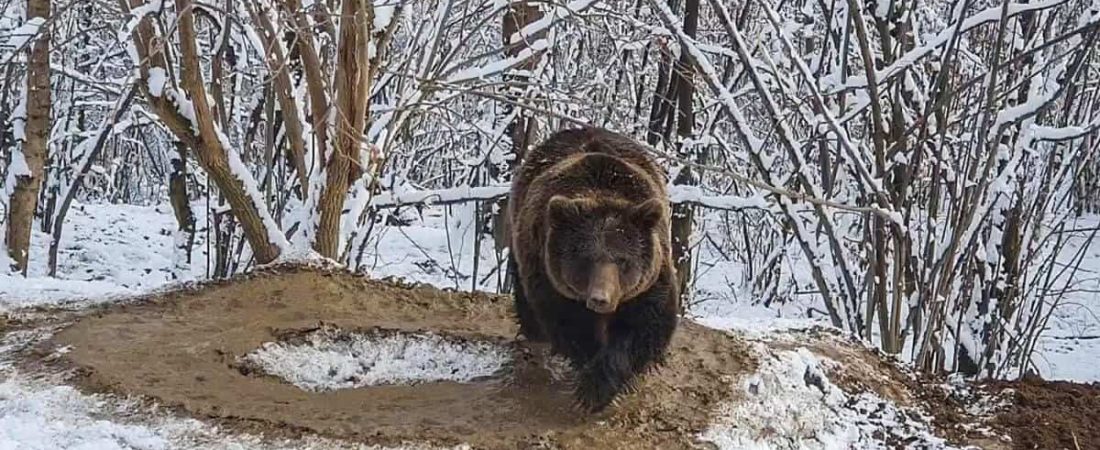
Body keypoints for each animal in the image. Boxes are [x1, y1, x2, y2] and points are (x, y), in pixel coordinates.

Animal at [506, 124, 677, 411]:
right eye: (585, 259)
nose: (600, 299)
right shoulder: (550, 278)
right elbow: (571, 326)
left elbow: (645, 326)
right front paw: (591, 383)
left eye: (622, 259)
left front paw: (598, 385)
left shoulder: (650, 281)